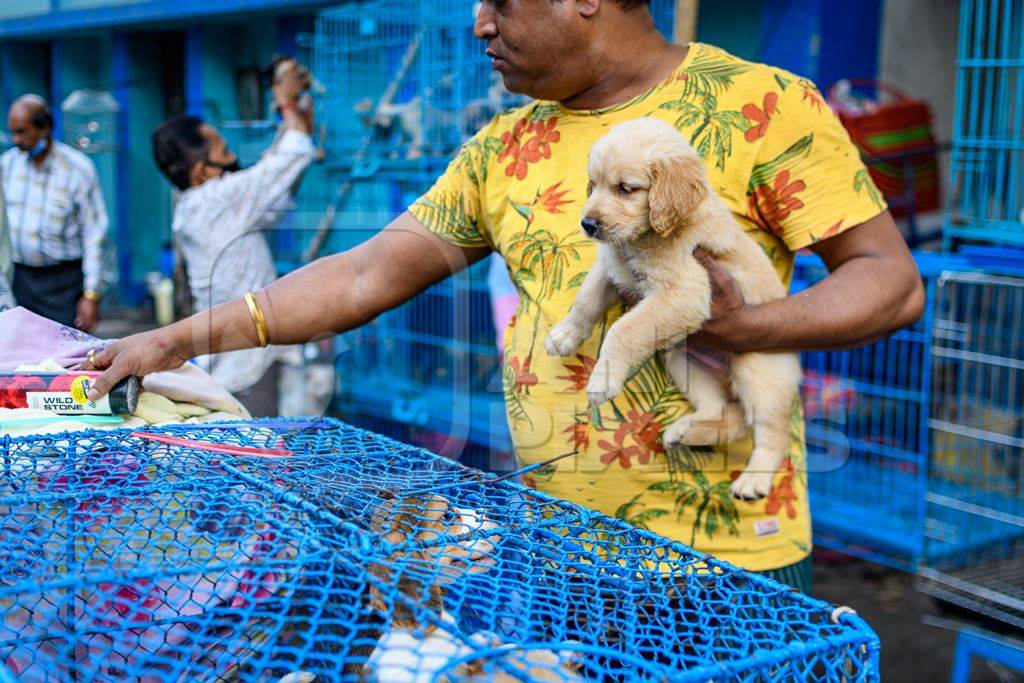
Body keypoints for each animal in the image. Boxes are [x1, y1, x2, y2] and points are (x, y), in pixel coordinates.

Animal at [548, 118, 802, 501]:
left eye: (626, 189)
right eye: (594, 185)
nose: (588, 225)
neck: (644, 239)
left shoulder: (687, 291)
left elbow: (624, 330)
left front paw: (602, 379)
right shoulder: (612, 265)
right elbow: (586, 299)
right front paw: (565, 335)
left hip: (758, 372)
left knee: (770, 432)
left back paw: (752, 479)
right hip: (684, 360)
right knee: (724, 412)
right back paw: (687, 431)